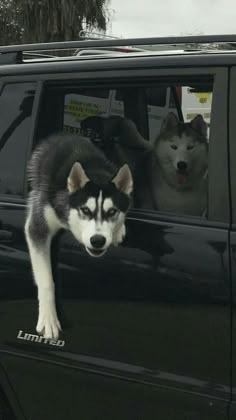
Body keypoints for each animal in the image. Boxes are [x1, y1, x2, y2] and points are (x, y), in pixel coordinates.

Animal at [26, 135, 134, 338]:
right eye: (85, 210)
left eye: (112, 212)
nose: (97, 240)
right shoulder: (38, 226)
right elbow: (47, 281)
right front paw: (49, 318)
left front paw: (119, 230)